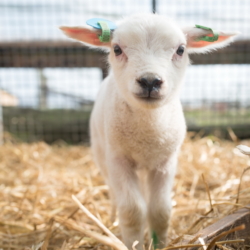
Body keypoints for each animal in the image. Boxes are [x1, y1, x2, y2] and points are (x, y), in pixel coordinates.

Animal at [60, 13, 238, 250]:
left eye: (181, 49)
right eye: (117, 49)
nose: (150, 81)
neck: (147, 133)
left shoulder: (165, 162)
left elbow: (160, 211)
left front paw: (158, 242)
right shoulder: (118, 160)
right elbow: (132, 211)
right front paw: (134, 241)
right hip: (101, 154)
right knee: (115, 195)